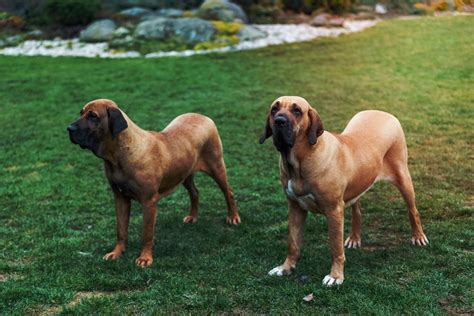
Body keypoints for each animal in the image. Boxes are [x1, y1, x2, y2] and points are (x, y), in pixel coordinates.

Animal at [66, 99, 241, 266]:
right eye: (81, 112)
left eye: (93, 116)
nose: (69, 128)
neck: (119, 155)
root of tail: (203, 116)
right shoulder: (120, 198)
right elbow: (121, 229)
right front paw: (116, 253)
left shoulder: (149, 202)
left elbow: (147, 233)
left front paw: (145, 258)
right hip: (184, 173)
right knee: (195, 192)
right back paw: (192, 217)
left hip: (216, 166)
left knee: (228, 191)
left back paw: (233, 217)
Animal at [260, 96, 430, 286]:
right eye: (274, 109)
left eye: (297, 111)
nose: (279, 120)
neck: (299, 161)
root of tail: (384, 113)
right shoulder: (295, 207)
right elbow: (293, 242)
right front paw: (286, 268)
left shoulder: (334, 210)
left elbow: (335, 246)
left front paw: (335, 276)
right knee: (357, 211)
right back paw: (355, 238)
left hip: (403, 177)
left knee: (413, 210)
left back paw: (418, 236)